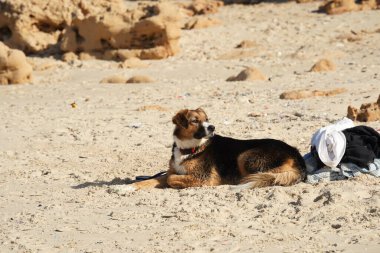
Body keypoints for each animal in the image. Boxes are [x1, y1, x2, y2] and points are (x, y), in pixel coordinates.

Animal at [127, 107, 306, 191]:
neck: (190, 149)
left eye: (207, 119)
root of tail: (296, 155)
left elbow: (171, 179)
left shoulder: (204, 177)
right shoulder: (172, 171)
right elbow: (152, 180)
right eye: (194, 120)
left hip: (245, 155)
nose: (212, 127)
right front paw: (127, 187)